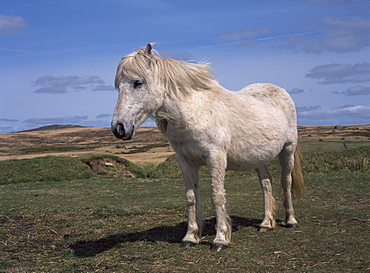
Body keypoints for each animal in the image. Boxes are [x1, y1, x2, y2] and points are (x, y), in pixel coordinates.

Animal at [111, 43, 304, 251]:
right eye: (118, 86)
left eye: (138, 82)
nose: (118, 128)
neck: (193, 113)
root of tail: (280, 90)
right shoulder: (185, 161)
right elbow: (191, 197)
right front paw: (190, 237)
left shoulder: (216, 158)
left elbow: (216, 196)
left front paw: (220, 239)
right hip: (259, 157)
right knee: (266, 183)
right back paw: (266, 223)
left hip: (287, 149)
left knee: (286, 181)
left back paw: (291, 220)